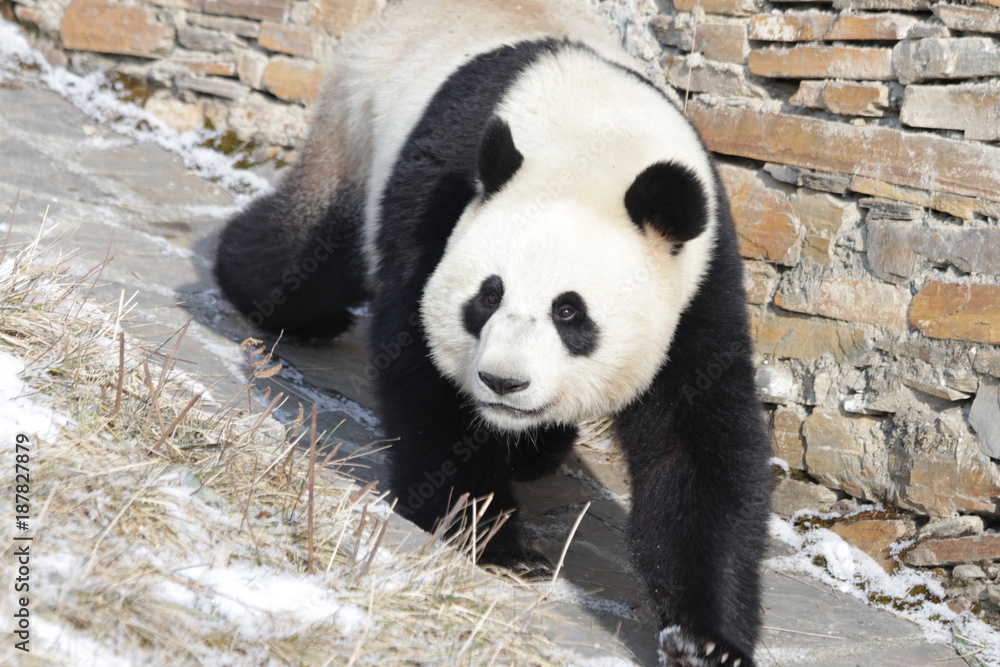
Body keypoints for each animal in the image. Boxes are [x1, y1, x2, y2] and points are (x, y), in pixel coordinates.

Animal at [214, 1, 771, 664]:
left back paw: (537, 451)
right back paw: (264, 289)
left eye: (570, 314)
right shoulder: (441, 197)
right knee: (310, 253)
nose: (503, 383)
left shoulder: (698, 280)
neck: (592, 139)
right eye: (488, 296)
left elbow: (695, 446)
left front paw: (703, 640)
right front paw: (490, 539)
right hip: (358, 125)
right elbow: (423, 367)